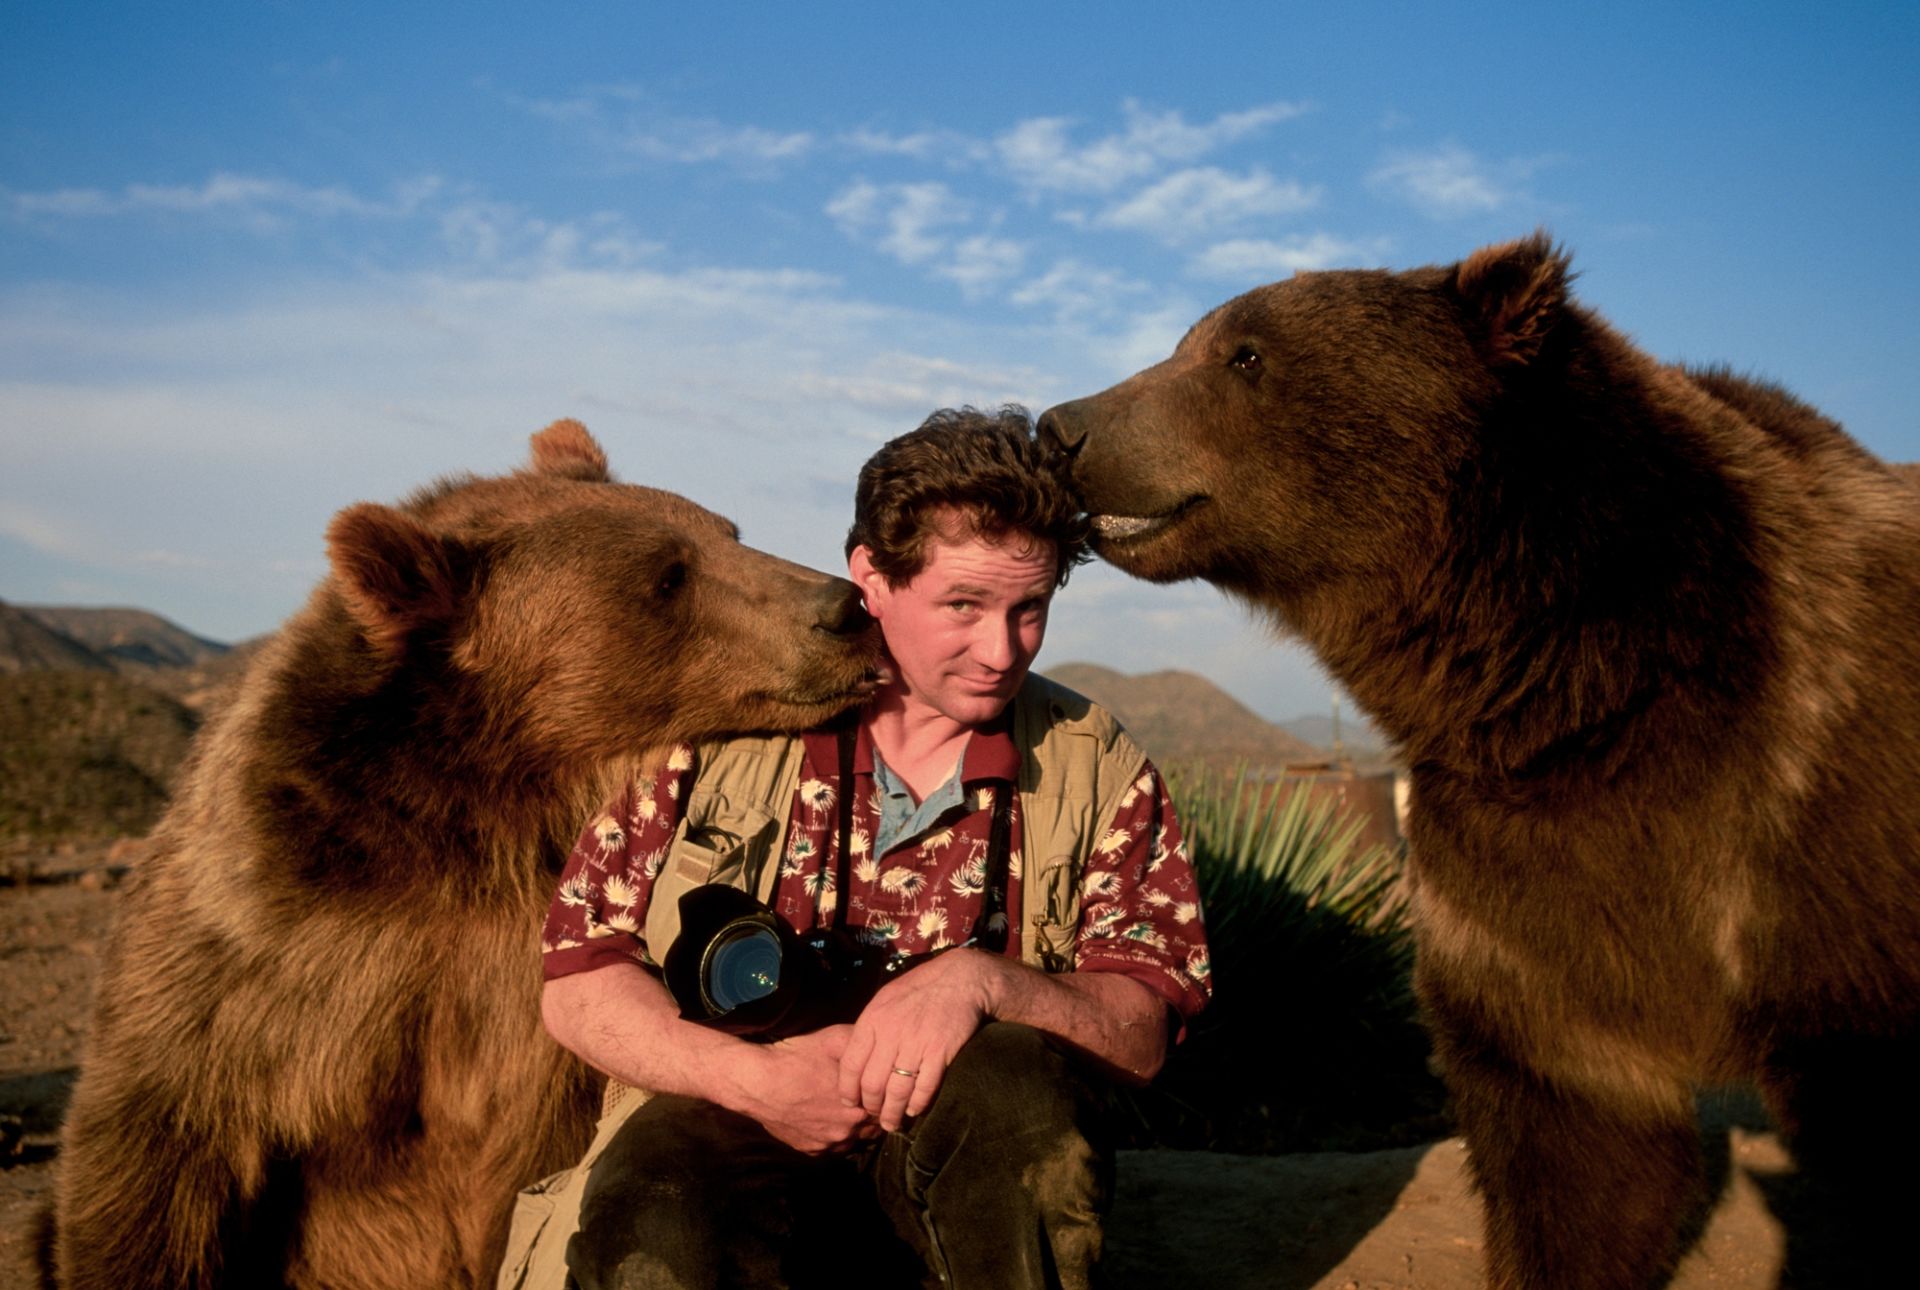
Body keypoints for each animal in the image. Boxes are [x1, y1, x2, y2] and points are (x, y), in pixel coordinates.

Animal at [46, 418, 883, 1282]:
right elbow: (157, 1162)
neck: (486, 819)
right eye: (666, 577)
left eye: (726, 531)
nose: (844, 607)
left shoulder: (515, 1033)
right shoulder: (261, 964)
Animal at [1044, 234, 1920, 1290]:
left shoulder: (1813, 814)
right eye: (1190, 342)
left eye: (1244, 354)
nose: (1063, 427)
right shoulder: (1522, 887)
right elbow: (1578, 1149)